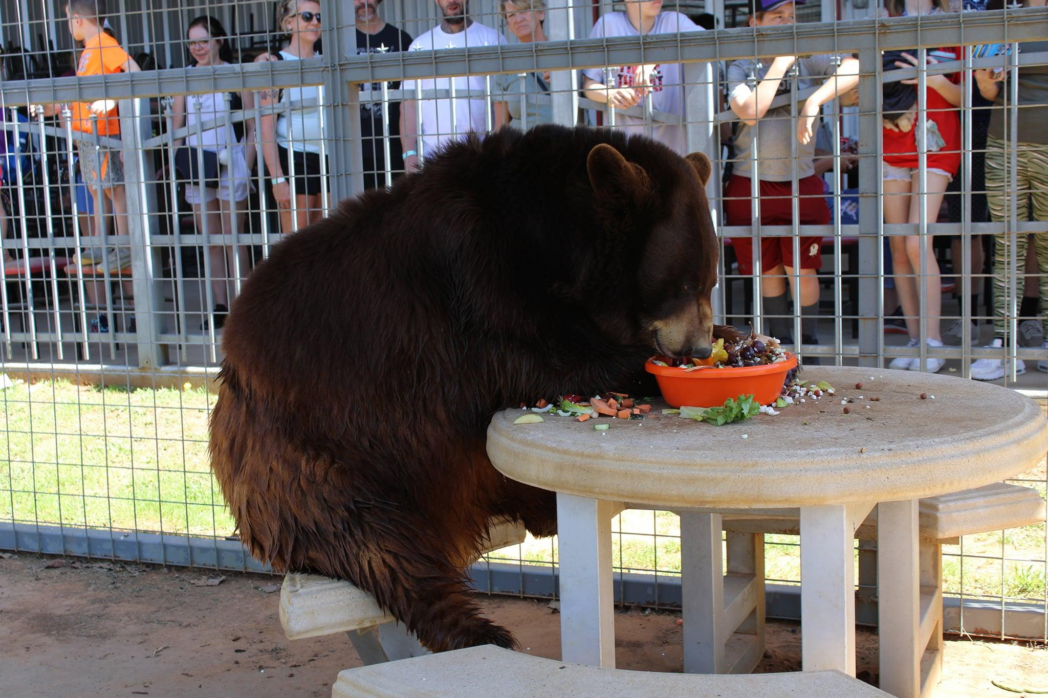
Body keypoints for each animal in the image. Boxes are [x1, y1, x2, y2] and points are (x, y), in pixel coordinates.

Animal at [209, 123, 728, 653]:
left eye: (709, 278)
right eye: (683, 283)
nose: (699, 346)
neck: (549, 240)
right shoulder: (469, 283)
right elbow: (536, 360)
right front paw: (647, 363)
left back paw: (539, 511)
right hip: (314, 455)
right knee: (373, 541)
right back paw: (476, 628)